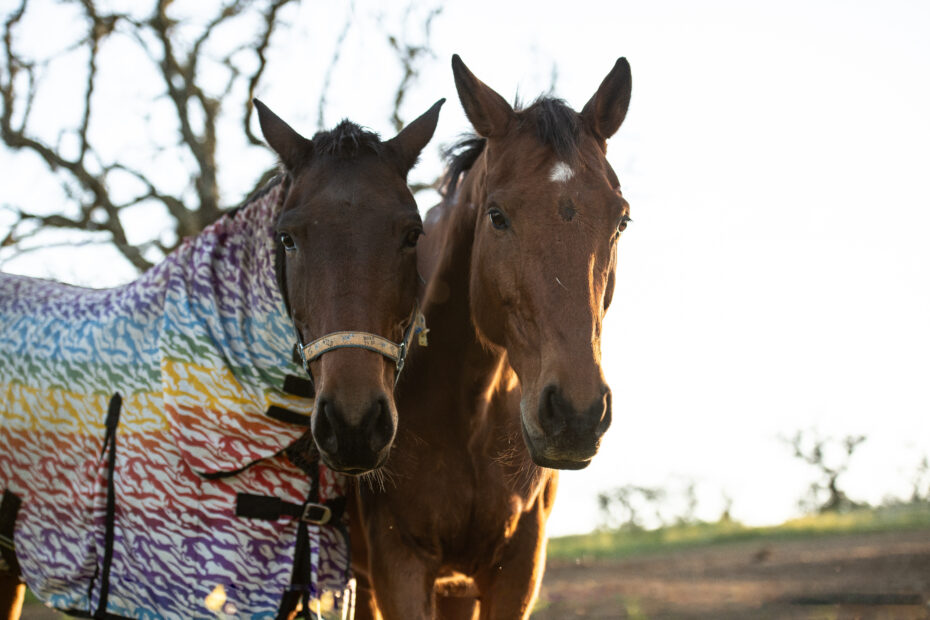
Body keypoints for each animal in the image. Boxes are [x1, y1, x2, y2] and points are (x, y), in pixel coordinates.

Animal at [352, 55, 636, 616]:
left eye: (621, 221)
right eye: (497, 216)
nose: (576, 415)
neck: (471, 417)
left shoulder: (517, 567)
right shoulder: (398, 564)